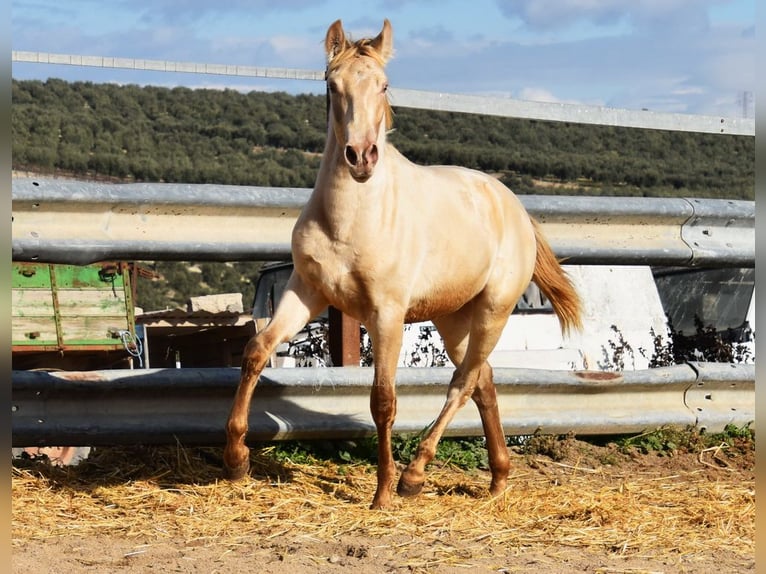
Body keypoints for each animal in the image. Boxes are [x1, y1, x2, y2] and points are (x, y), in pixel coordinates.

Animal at [225, 19, 584, 512]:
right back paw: (497, 478)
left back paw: (414, 477)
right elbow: (257, 351)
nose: (361, 157)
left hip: (494, 310)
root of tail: (513, 206)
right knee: (483, 379)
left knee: (463, 382)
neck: (351, 220)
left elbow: (383, 400)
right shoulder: (307, 291)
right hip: (453, 316)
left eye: (383, 84)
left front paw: (382, 494)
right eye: (331, 84)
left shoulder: (387, 313)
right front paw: (236, 459)